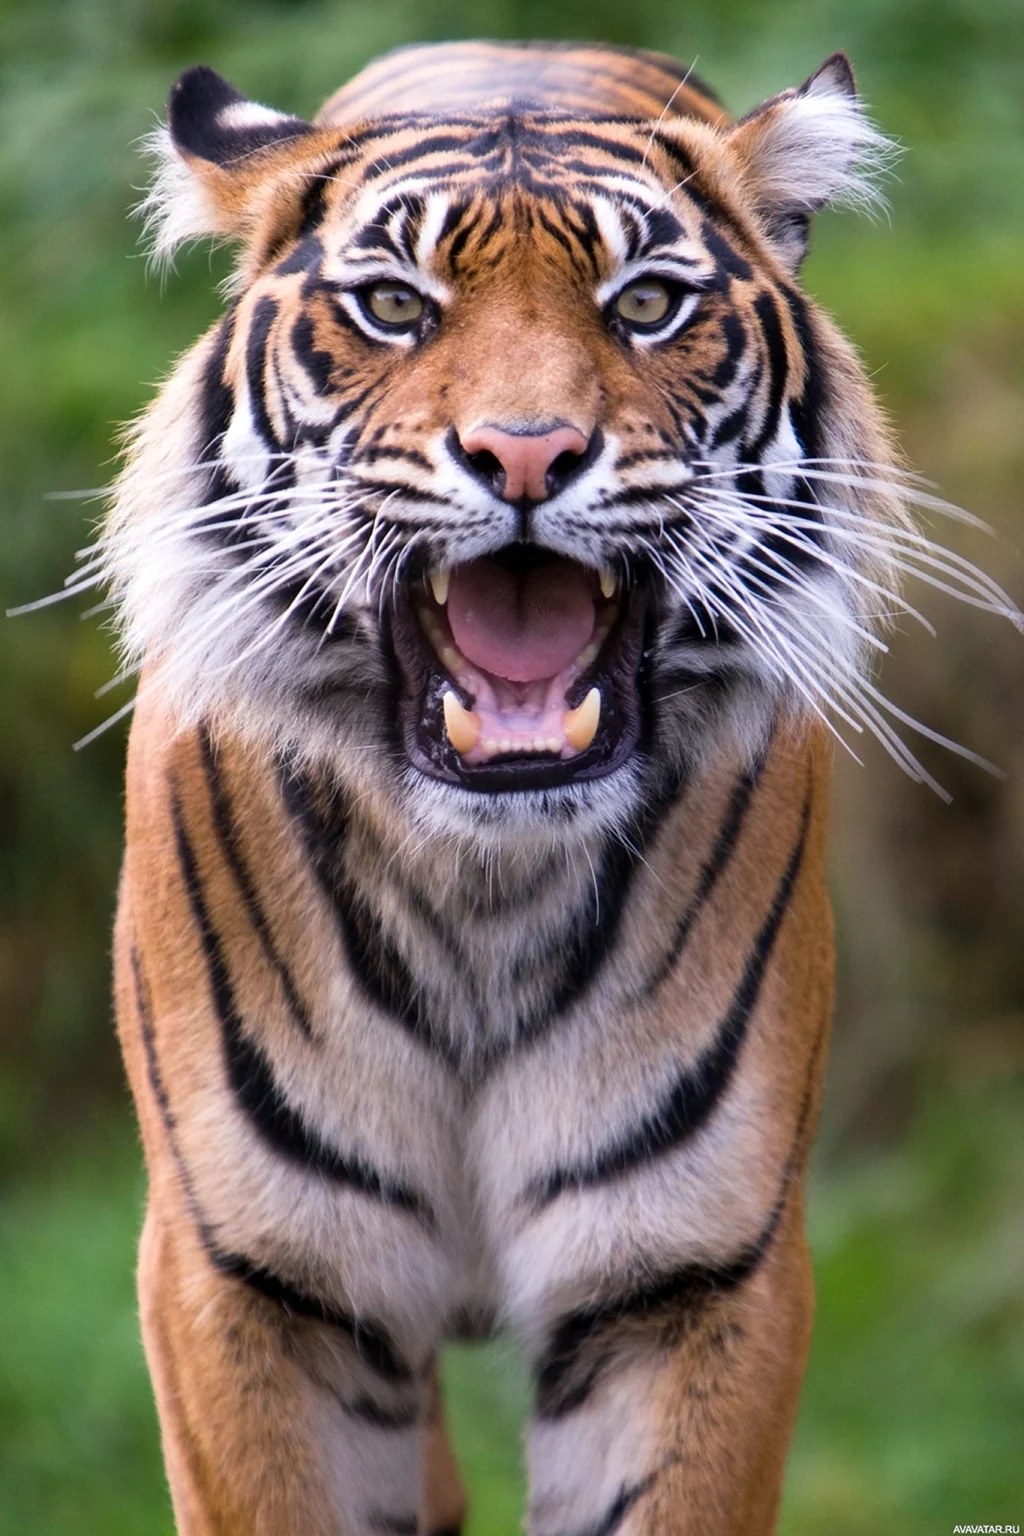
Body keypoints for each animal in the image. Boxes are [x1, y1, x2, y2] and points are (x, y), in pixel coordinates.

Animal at [94, 35, 1015, 1536]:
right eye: (393, 306)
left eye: (645, 304)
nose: (525, 454)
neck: (482, 883)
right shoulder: (248, 1276)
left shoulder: (693, 1270)